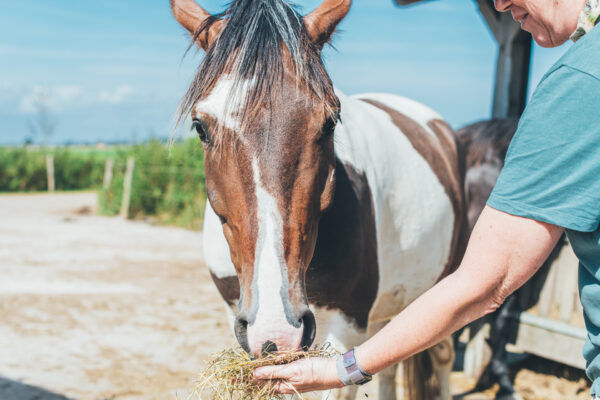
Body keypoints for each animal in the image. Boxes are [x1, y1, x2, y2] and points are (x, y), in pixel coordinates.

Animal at [169, 1, 468, 398]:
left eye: (330, 122)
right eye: (200, 127)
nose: (277, 333)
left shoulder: (346, 329)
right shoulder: (237, 315)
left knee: (443, 356)